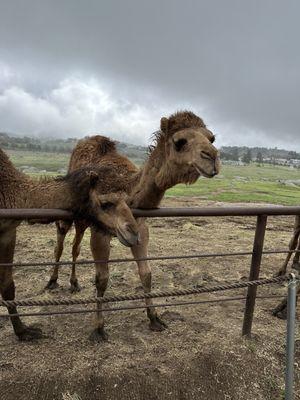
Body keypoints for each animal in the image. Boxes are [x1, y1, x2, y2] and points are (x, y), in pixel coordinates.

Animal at [0, 148, 139, 342]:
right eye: (105, 203)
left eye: (127, 200)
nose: (133, 233)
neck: (12, 194)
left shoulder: (8, 231)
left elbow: (8, 285)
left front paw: (23, 331)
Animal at [46, 110, 220, 340]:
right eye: (179, 142)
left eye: (211, 138)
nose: (212, 157)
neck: (126, 191)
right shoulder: (100, 232)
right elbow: (102, 278)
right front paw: (98, 328)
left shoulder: (140, 229)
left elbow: (146, 274)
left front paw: (154, 319)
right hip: (68, 211)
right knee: (60, 243)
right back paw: (52, 282)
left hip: (83, 221)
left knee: (75, 246)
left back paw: (74, 284)